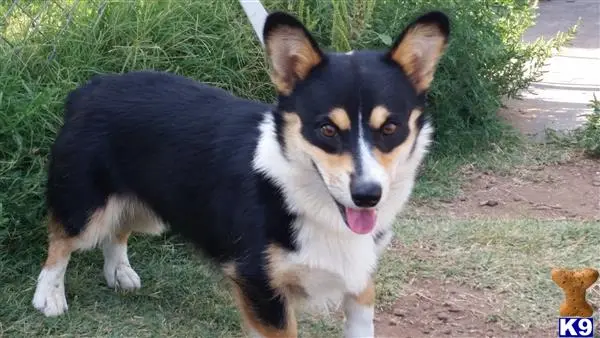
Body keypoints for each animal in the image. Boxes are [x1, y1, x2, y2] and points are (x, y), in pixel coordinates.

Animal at [31, 10, 446, 338]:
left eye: (390, 128)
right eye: (327, 129)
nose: (367, 195)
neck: (303, 195)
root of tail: (90, 87)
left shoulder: (359, 281)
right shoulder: (260, 286)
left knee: (118, 229)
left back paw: (119, 272)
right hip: (85, 203)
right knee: (62, 240)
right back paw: (49, 296)